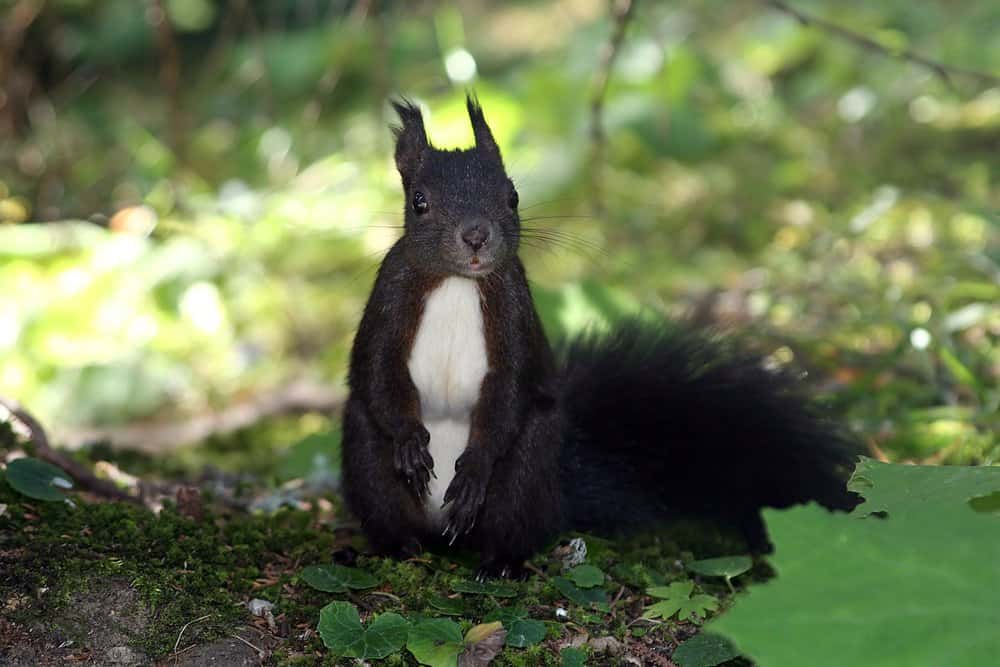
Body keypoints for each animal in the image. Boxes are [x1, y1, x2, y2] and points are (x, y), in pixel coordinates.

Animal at [344, 95, 860, 580]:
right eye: (419, 201)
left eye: (512, 197)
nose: (476, 235)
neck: (457, 282)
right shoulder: (389, 298)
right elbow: (379, 371)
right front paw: (410, 442)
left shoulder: (514, 310)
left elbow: (508, 391)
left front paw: (474, 470)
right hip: (366, 458)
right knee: (386, 495)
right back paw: (394, 549)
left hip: (529, 466)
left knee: (513, 517)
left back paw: (501, 563)